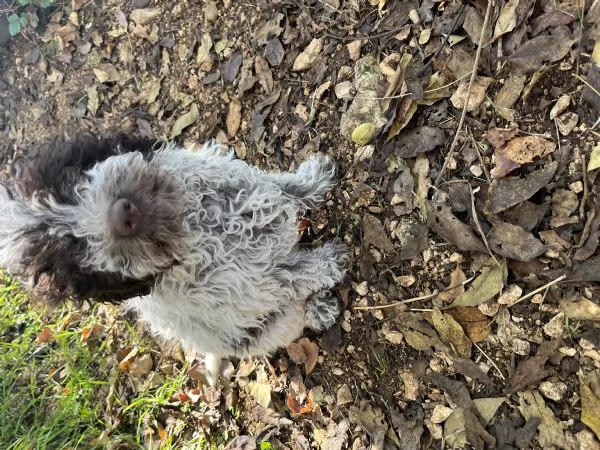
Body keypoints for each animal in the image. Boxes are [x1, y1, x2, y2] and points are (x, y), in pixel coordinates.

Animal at [0, 134, 346, 384]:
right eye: (74, 249)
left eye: (69, 179)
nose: (123, 214)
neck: (191, 225)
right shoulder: (256, 284)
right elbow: (293, 272)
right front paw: (331, 260)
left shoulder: (241, 182)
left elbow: (282, 187)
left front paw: (314, 178)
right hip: (262, 330)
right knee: (290, 315)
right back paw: (318, 310)